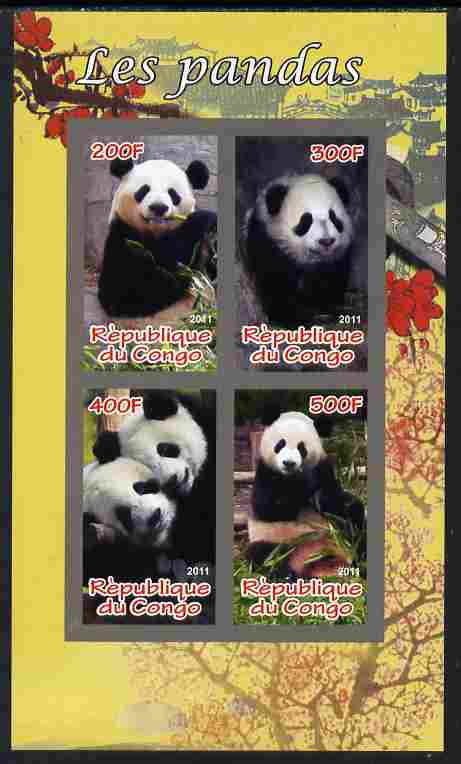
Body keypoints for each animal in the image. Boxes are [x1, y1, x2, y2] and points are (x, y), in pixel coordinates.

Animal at [98, 157, 217, 317]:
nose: (158, 207)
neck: (156, 234)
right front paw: (202, 219)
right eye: (143, 190)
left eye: (173, 194)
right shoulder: (123, 236)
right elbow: (130, 292)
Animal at [243, 173, 354, 327]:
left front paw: (327, 306)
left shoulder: (336, 259)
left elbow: (332, 278)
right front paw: (291, 318)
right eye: (306, 220)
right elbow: (275, 284)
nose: (326, 241)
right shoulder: (267, 242)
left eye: (333, 217)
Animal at [246, 405, 365, 580]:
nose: (288, 463)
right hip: (273, 538)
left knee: (356, 525)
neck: (290, 478)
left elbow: (333, 499)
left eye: (301, 447)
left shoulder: (324, 469)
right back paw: (288, 576)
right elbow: (269, 507)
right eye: (280, 444)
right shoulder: (265, 473)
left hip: (338, 533)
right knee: (265, 555)